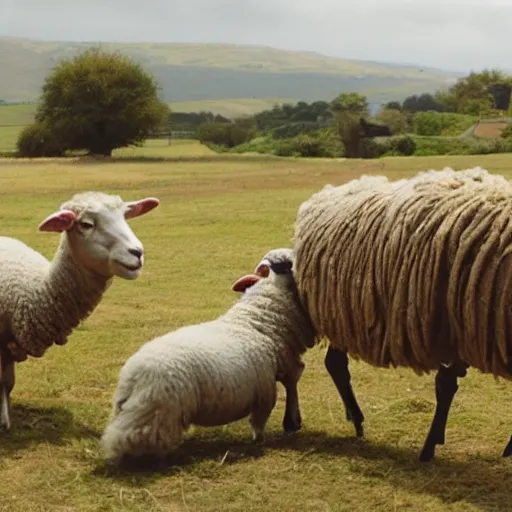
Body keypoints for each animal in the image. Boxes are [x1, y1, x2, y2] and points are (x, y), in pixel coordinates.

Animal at [0, 192, 160, 432]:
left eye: (125, 216)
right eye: (86, 224)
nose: (137, 253)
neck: (32, 289)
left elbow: (8, 383)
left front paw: (7, 416)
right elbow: (3, 382)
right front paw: (3, 420)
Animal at [99, 246, 316, 462]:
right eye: (289, 262)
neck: (258, 321)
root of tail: (130, 377)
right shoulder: (265, 394)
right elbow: (258, 424)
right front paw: (260, 440)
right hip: (155, 415)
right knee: (128, 438)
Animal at [290, 167, 512, 460]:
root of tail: (322, 196)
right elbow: (445, 385)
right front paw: (430, 448)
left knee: (335, 363)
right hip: (338, 312)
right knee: (336, 364)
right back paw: (360, 422)